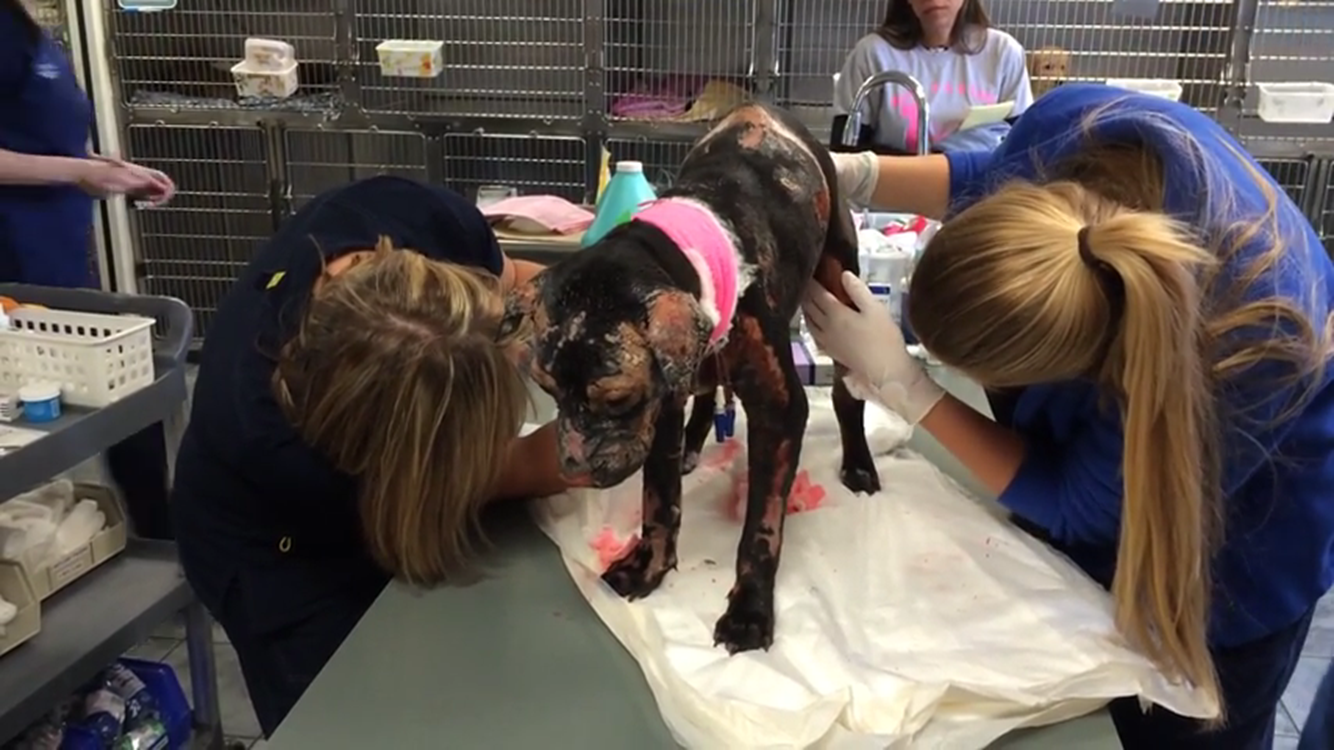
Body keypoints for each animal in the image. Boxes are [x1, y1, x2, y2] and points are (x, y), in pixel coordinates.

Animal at [504, 102, 880, 651]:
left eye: (616, 400)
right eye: (549, 391)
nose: (571, 472)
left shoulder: (780, 413)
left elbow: (761, 529)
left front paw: (749, 609)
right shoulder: (660, 408)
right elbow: (658, 500)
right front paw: (650, 565)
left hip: (841, 292)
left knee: (847, 395)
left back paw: (858, 463)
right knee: (704, 395)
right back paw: (694, 442)